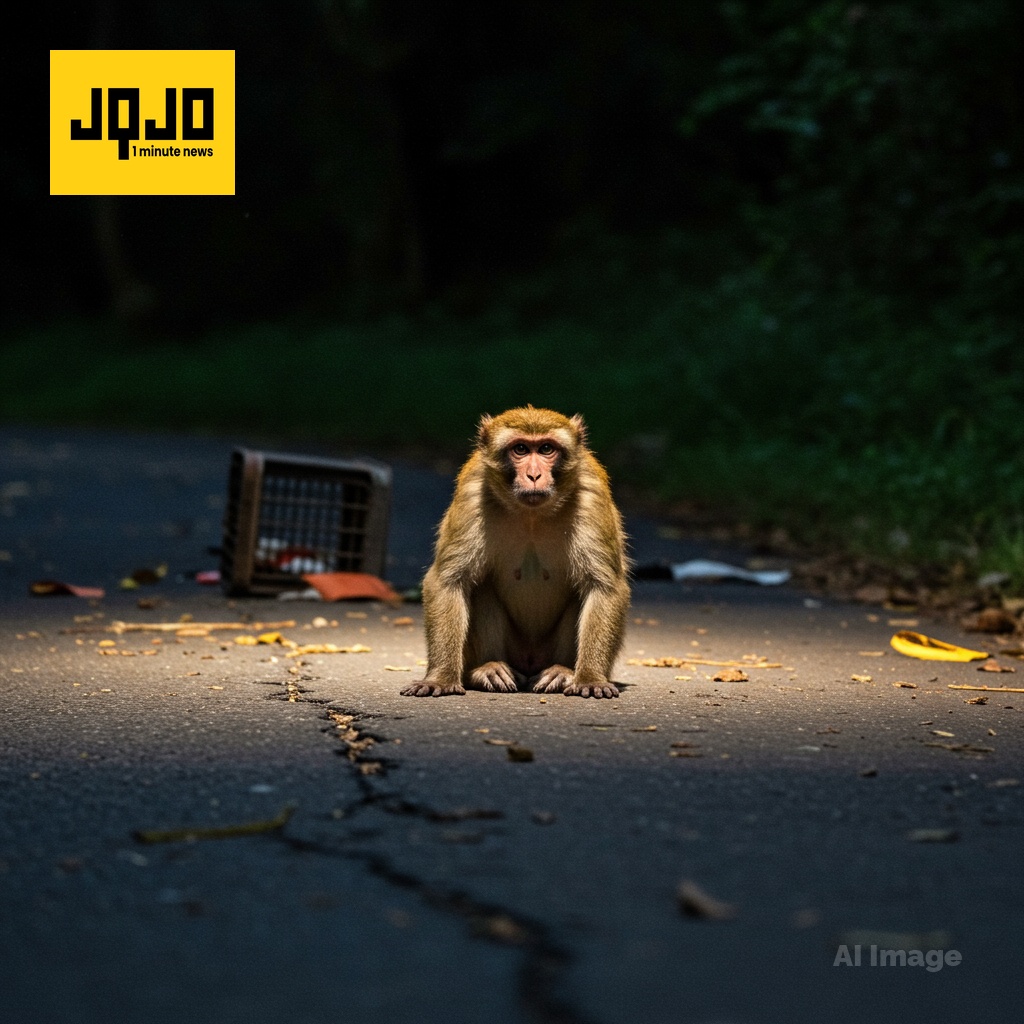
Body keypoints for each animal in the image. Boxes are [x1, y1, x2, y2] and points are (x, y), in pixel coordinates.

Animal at [401, 406, 629, 699]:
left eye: (546, 449)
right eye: (520, 449)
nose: (533, 476)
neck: (531, 514)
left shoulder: (592, 494)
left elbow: (604, 587)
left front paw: (590, 677)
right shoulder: (472, 492)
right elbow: (447, 581)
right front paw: (440, 678)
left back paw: (564, 671)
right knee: (481, 587)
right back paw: (486, 669)